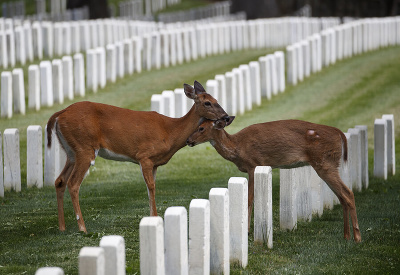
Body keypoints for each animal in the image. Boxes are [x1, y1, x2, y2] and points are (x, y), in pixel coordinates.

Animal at [46, 81, 228, 233]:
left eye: (216, 99)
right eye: (207, 102)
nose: (226, 116)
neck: (170, 132)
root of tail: (59, 114)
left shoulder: (154, 163)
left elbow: (150, 187)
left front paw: (152, 218)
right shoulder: (144, 156)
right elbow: (151, 186)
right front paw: (155, 217)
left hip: (71, 152)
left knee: (60, 181)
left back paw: (62, 227)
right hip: (85, 148)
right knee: (73, 183)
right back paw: (82, 228)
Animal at [188, 117, 362, 243]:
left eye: (201, 128)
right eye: (197, 125)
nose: (188, 140)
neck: (237, 147)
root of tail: (339, 133)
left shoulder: (254, 165)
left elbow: (250, 199)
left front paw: (248, 230)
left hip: (325, 163)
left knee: (348, 193)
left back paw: (357, 237)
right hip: (329, 164)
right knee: (342, 196)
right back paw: (346, 236)